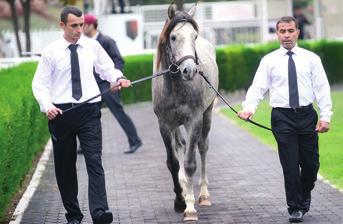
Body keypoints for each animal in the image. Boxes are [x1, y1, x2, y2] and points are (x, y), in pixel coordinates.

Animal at [152, 3, 219, 222]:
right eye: (173, 37)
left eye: (194, 36)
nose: (189, 70)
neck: (175, 85)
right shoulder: (164, 124)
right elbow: (173, 162)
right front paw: (179, 200)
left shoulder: (194, 120)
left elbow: (190, 163)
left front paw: (189, 207)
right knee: (180, 145)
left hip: (207, 114)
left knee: (203, 147)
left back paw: (203, 194)